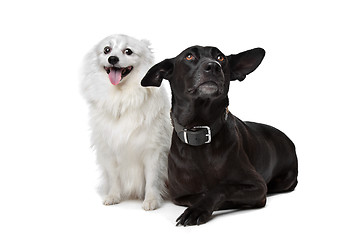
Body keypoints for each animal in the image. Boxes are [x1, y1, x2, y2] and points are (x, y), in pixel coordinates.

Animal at [81, 34, 172, 210]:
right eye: (106, 49)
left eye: (128, 51)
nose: (112, 58)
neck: (122, 96)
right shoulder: (109, 150)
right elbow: (114, 177)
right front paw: (113, 196)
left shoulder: (154, 151)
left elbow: (152, 179)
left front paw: (151, 200)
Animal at [141, 46, 298, 226]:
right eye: (189, 56)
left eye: (221, 58)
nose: (213, 66)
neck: (199, 131)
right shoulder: (179, 195)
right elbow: (200, 194)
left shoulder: (257, 185)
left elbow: (221, 188)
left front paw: (198, 209)